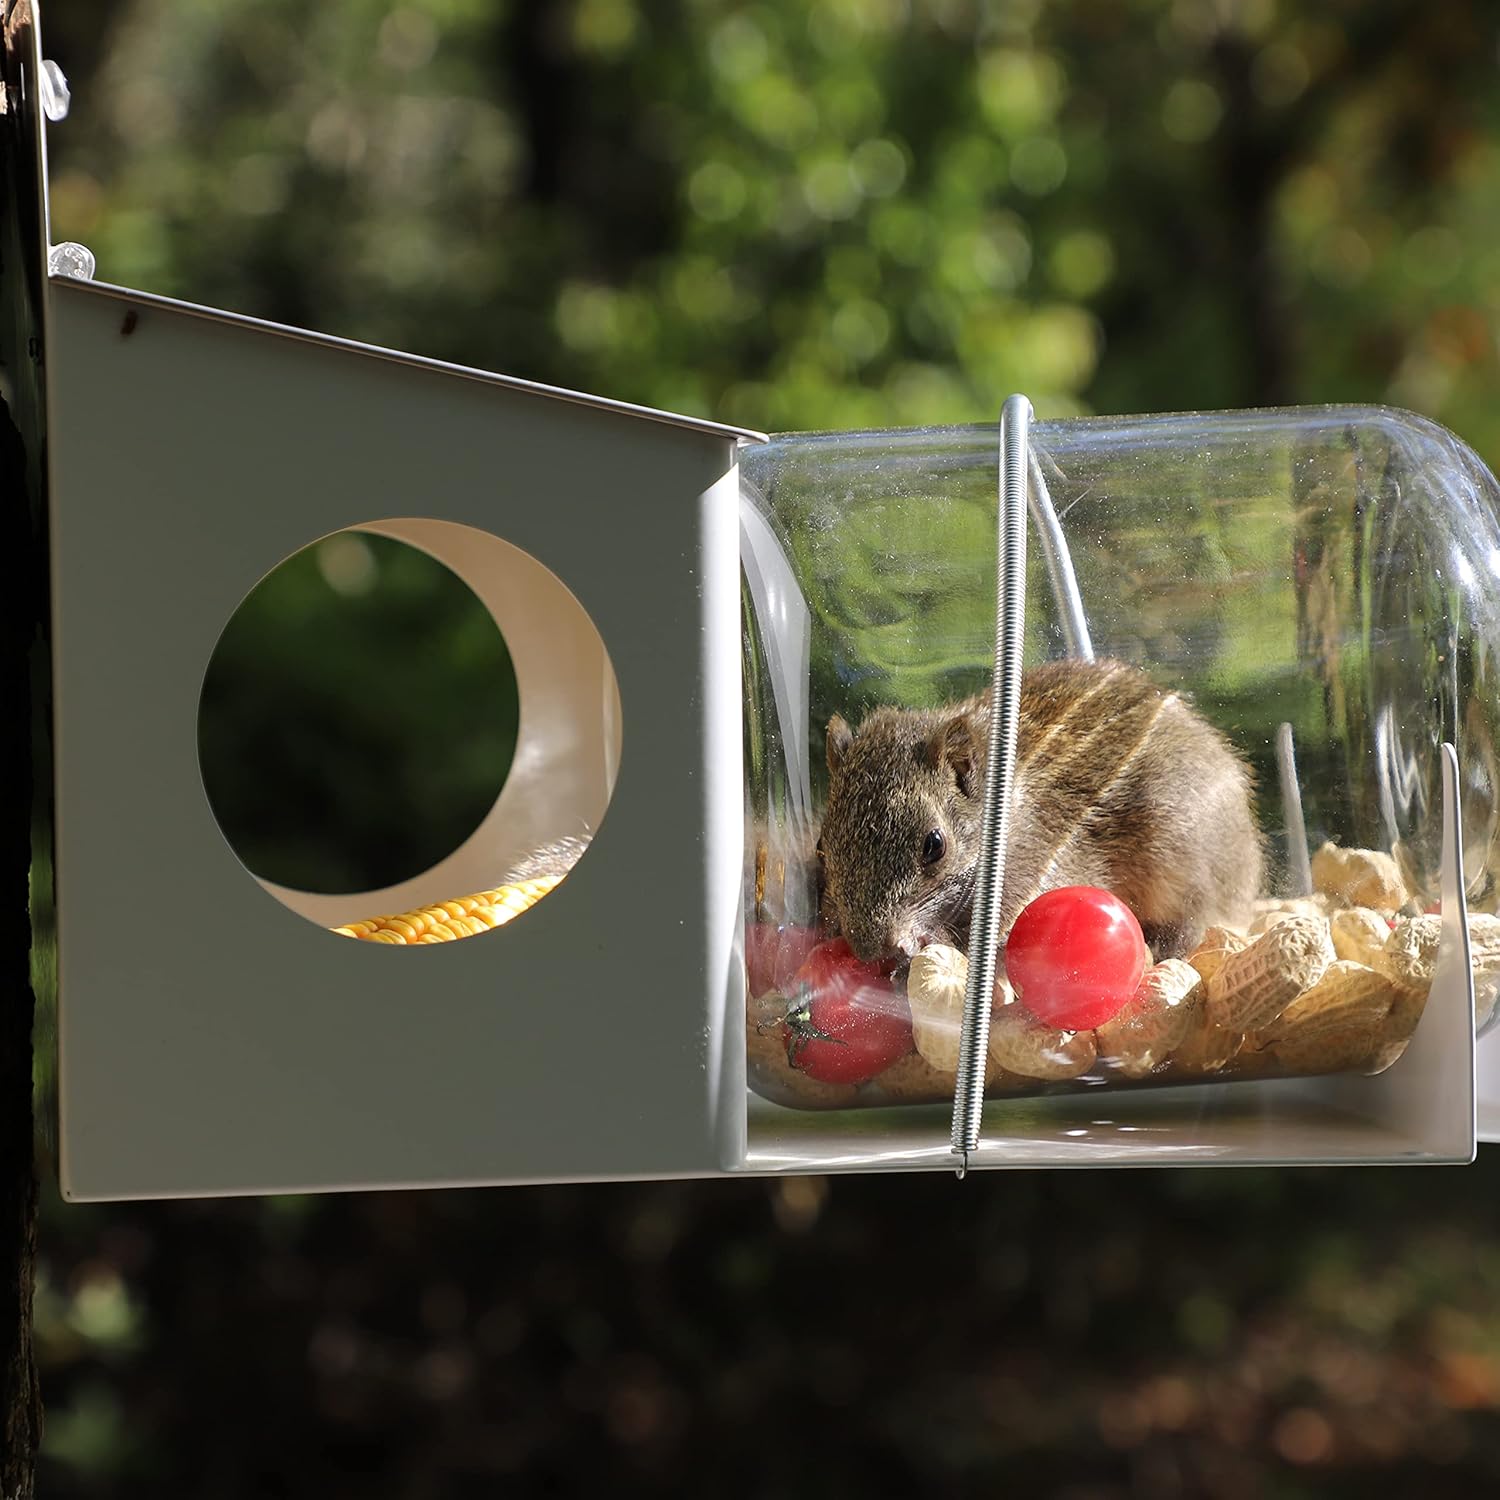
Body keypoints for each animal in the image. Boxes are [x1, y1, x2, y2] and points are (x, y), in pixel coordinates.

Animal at [816, 657, 1262, 965]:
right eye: (822, 845)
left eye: (934, 846)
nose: (870, 950)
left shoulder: (1036, 866)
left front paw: (928, 942)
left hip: (1183, 859)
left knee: (1194, 921)